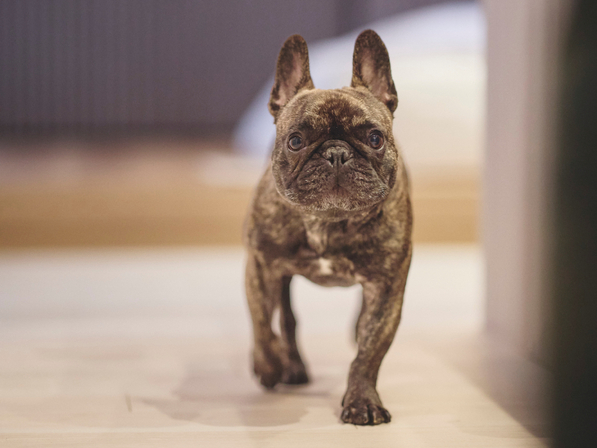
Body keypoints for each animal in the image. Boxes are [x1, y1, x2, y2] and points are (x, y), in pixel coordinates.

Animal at [243, 30, 412, 426]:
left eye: (375, 138)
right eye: (296, 140)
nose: (337, 153)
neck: (328, 221)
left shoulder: (386, 288)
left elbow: (368, 353)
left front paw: (363, 400)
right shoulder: (260, 266)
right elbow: (261, 322)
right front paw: (267, 366)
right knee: (286, 321)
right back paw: (288, 366)